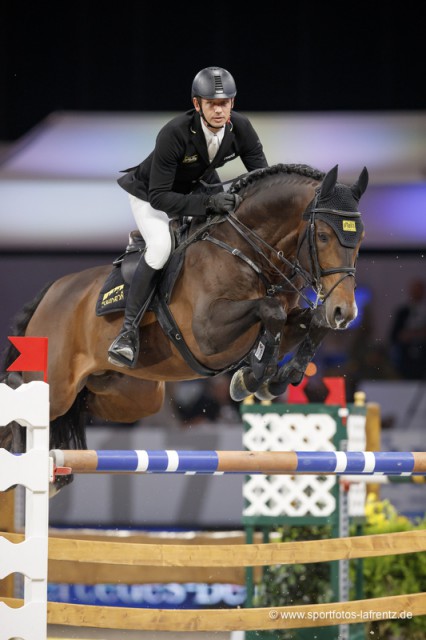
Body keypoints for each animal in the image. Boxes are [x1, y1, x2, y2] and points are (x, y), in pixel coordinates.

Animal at [0, 162, 368, 482]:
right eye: (323, 236)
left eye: (360, 238)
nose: (344, 312)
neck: (244, 250)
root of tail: (52, 292)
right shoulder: (208, 335)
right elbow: (270, 310)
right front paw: (255, 374)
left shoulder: (287, 320)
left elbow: (312, 323)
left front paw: (270, 380)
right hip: (57, 385)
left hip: (129, 394)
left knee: (82, 407)